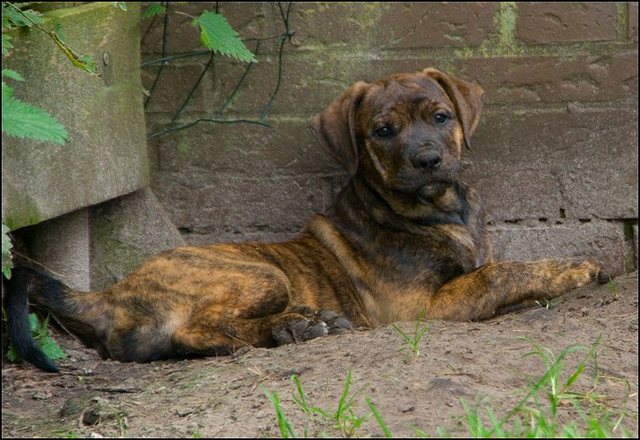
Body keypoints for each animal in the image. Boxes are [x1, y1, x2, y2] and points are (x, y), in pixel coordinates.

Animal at [5, 68, 604, 372]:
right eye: (383, 131)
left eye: (441, 117)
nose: (428, 160)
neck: (437, 210)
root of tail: (108, 294)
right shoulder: (418, 309)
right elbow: (498, 274)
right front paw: (575, 268)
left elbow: (495, 268)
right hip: (260, 273)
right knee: (193, 331)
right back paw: (296, 325)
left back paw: (300, 324)